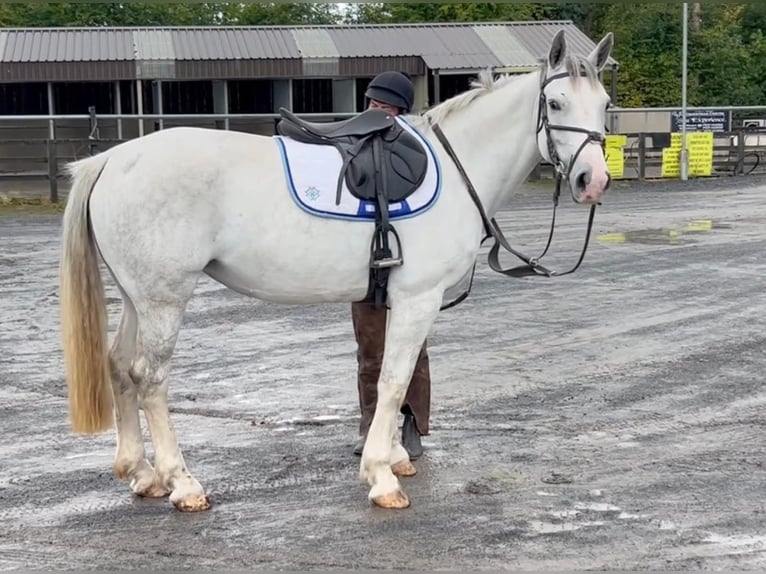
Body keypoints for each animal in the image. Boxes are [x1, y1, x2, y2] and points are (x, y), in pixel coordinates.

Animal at [58, 29, 615, 512]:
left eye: (606, 104)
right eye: (556, 104)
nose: (593, 181)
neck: (458, 169)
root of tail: (112, 160)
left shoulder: (389, 297)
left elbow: (388, 375)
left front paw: (392, 457)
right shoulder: (418, 298)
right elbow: (394, 379)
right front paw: (382, 477)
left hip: (138, 298)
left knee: (118, 367)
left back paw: (141, 473)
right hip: (164, 300)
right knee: (149, 379)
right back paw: (182, 483)